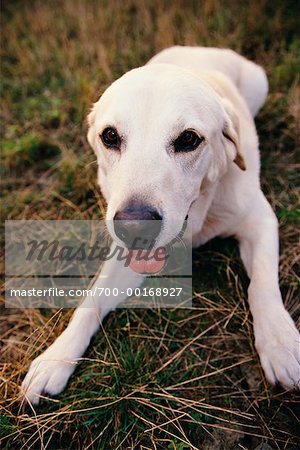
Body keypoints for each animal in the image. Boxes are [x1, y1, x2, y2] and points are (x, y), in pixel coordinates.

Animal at [21, 45, 300, 404]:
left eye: (189, 139)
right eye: (110, 136)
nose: (134, 227)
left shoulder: (260, 220)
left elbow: (262, 284)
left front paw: (280, 343)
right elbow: (90, 301)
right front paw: (56, 357)